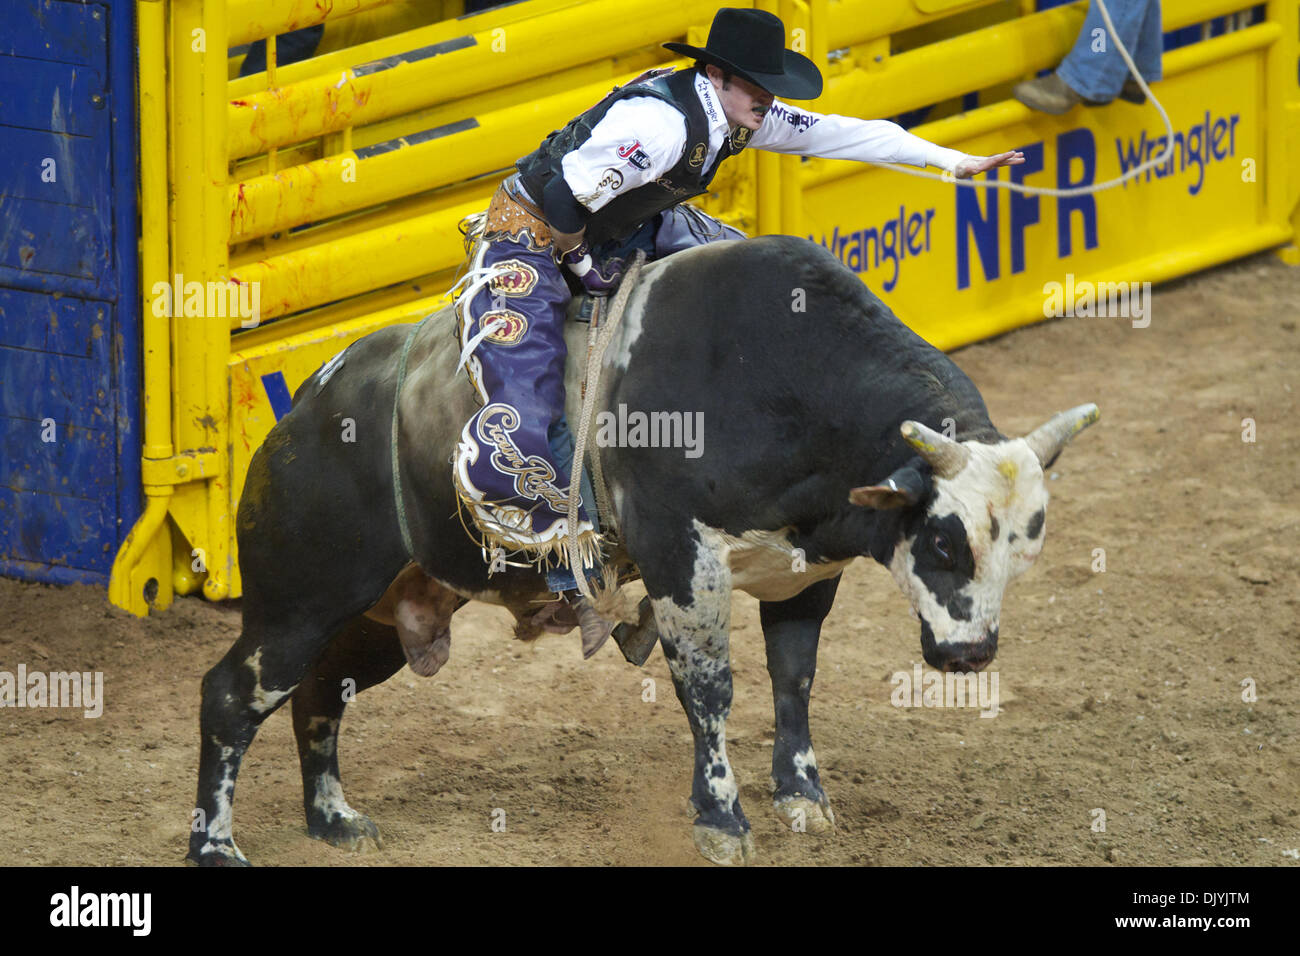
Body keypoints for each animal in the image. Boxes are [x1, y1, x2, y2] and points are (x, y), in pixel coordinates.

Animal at [185, 234, 1097, 868]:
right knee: (233, 695)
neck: (781, 380)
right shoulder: (679, 558)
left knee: (318, 694)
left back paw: (333, 819)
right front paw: (722, 818)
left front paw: (802, 796)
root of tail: (304, 408)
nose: (970, 654)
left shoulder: (804, 572)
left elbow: (794, 678)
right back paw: (216, 846)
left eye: (1023, 548)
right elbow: (710, 688)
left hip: (384, 611)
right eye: (943, 538)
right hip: (295, 598)